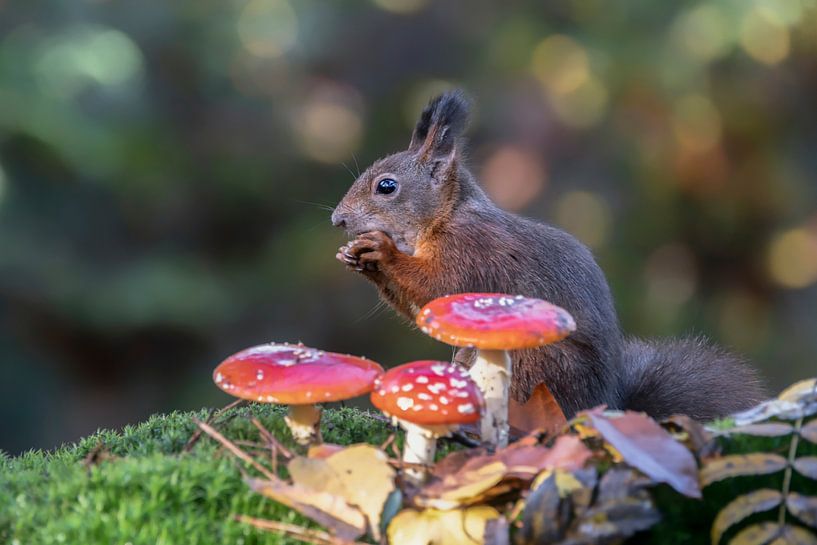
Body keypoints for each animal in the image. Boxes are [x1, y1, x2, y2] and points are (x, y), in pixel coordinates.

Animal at [331, 90, 765, 421]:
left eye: (387, 187)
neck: (444, 218)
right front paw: (354, 256)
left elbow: (439, 285)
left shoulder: (473, 251)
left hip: (534, 363)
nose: (337, 219)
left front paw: (379, 250)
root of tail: (599, 403)